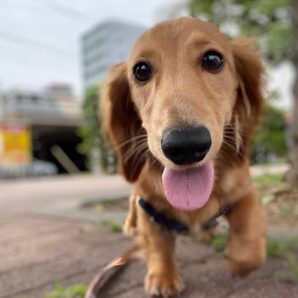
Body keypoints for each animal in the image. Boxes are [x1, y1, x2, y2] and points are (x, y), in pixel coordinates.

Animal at [101, 17, 266, 296]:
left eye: (213, 59)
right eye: (141, 70)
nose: (185, 145)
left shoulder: (245, 191)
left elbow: (249, 231)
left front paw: (239, 260)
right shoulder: (147, 204)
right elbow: (157, 242)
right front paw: (162, 275)